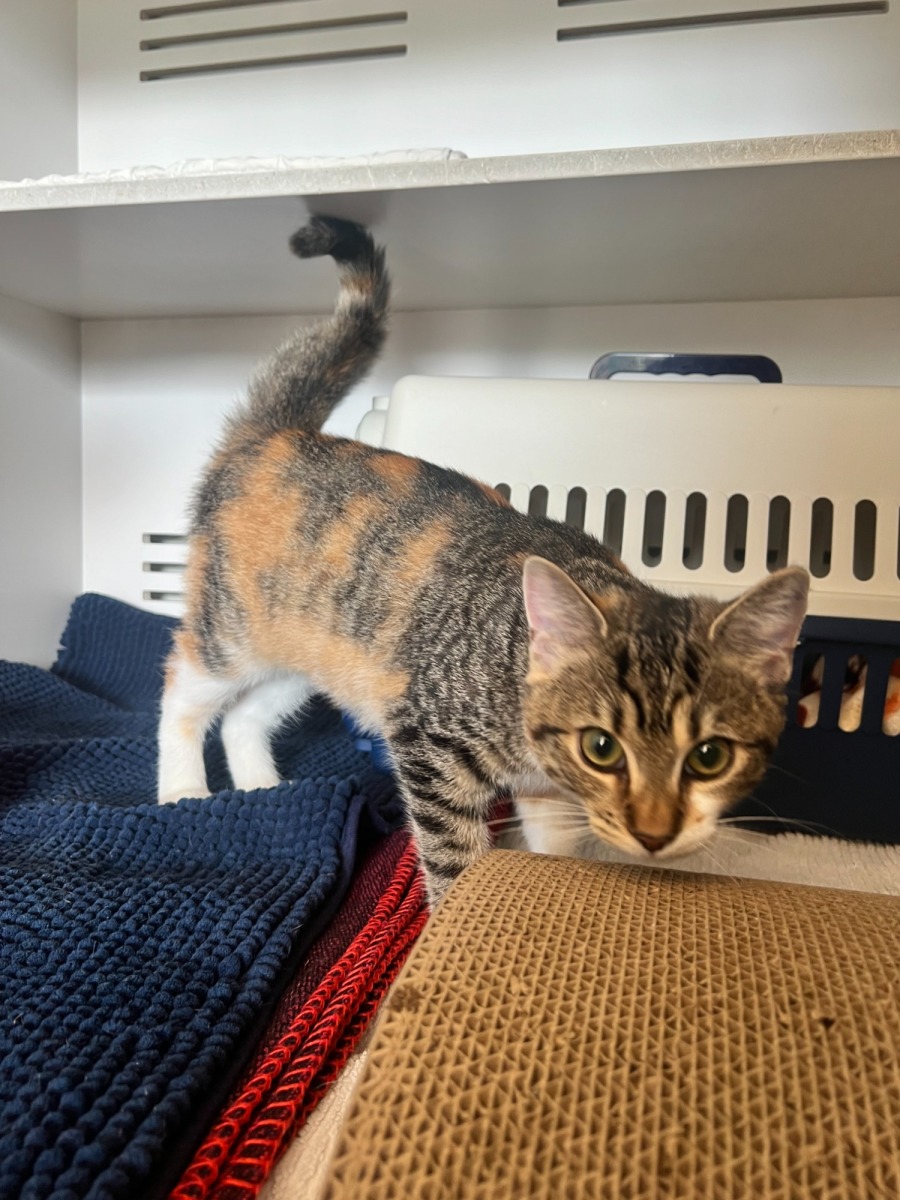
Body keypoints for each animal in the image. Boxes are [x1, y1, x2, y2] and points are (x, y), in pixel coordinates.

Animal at [157, 215, 810, 905]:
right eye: (604, 748)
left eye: (709, 757)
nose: (654, 832)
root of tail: (276, 434)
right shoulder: (429, 743)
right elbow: (455, 858)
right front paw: (454, 913)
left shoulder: (548, 794)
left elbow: (554, 845)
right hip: (232, 628)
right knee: (182, 689)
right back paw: (182, 791)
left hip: (313, 652)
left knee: (245, 714)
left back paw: (262, 786)